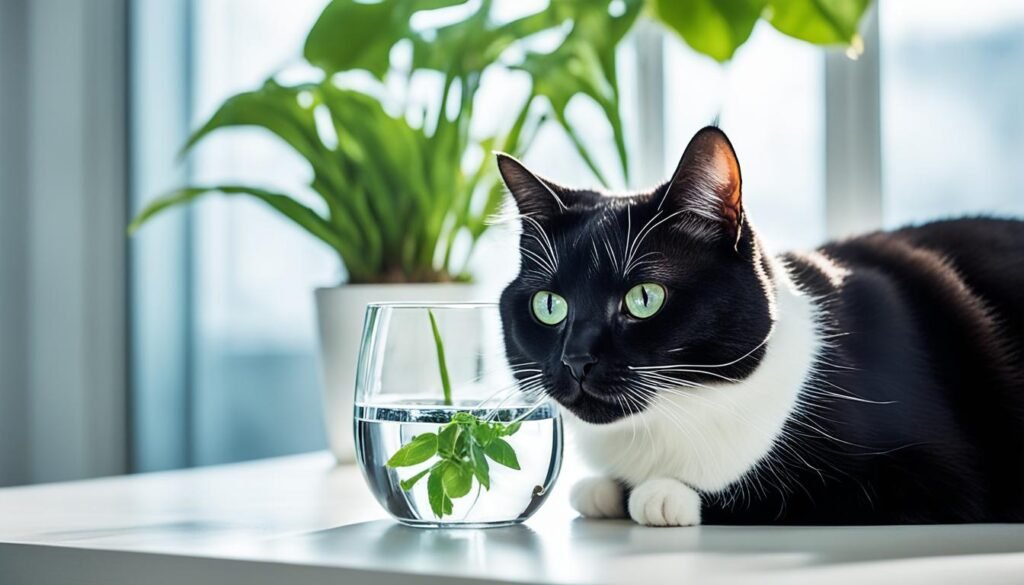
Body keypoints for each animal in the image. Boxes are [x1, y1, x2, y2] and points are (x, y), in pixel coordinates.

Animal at [493, 127, 1024, 524]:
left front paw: (660, 495)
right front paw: (608, 488)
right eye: (549, 306)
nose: (576, 359)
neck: (670, 418)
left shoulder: (934, 475)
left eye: (644, 299)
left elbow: (798, 493)